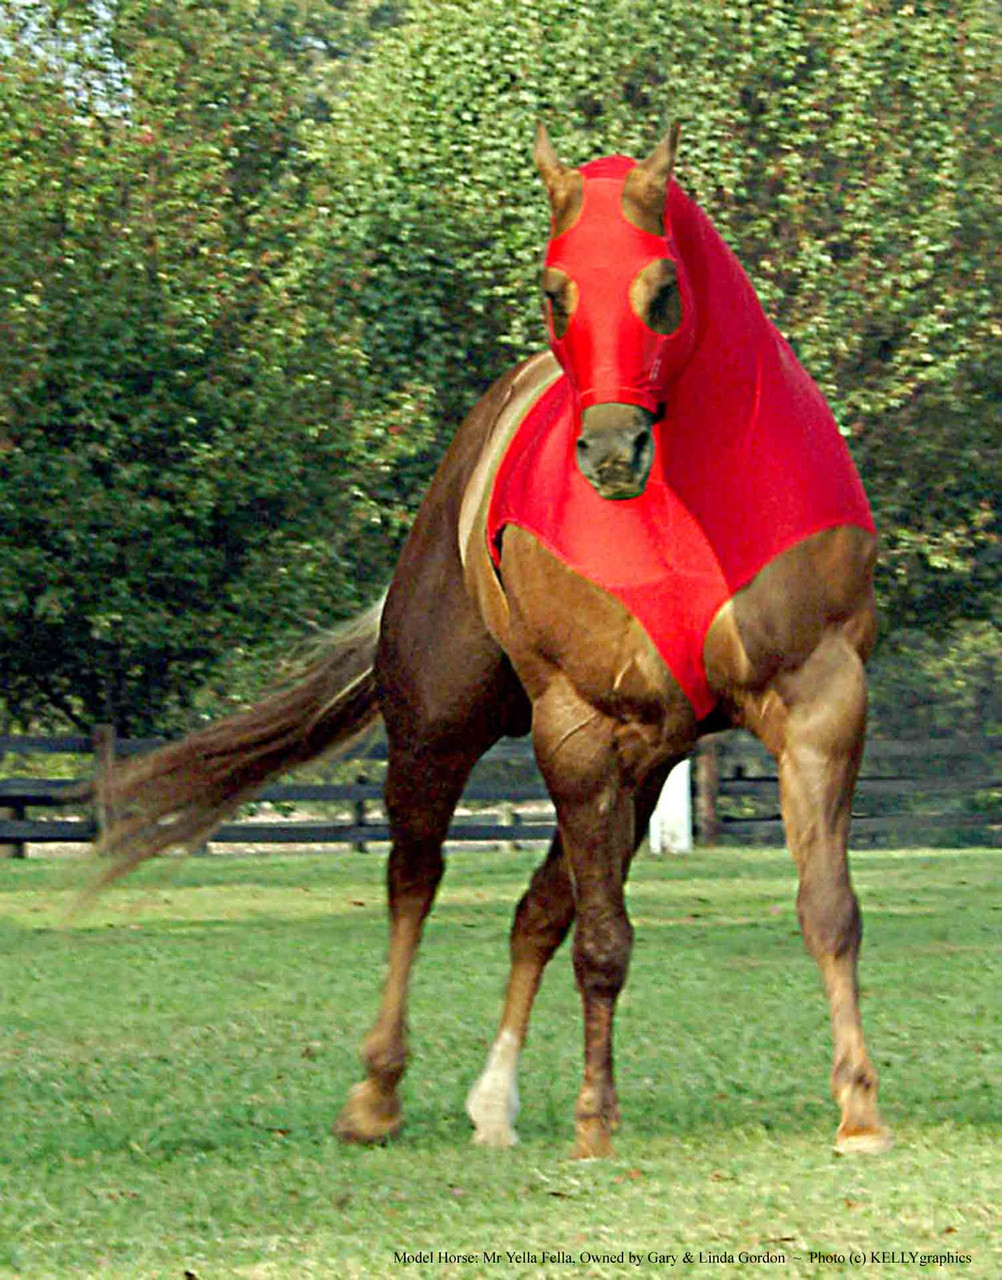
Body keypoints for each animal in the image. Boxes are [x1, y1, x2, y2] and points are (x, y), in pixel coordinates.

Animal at [97, 124, 892, 1159]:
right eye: (555, 289)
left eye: (663, 287)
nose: (611, 453)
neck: (683, 515)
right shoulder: (579, 726)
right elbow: (601, 942)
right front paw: (595, 1120)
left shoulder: (818, 704)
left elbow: (826, 910)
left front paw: (859, 1108)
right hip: (442, 730)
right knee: (416, 878)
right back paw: (377, 1094)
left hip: (644, 762)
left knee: (535, 910)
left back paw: (493, 1100)